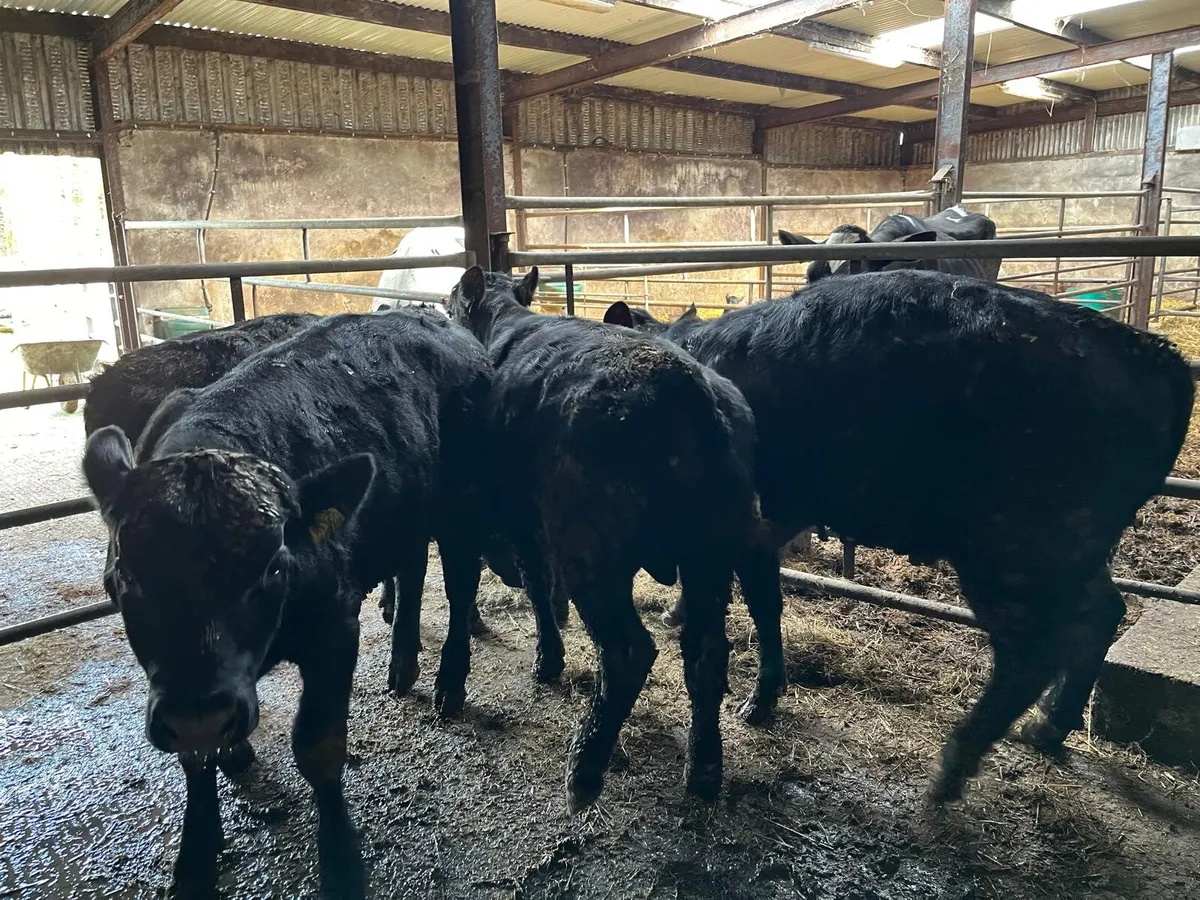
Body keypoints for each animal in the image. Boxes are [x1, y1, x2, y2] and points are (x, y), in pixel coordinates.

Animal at [81, 308, 494, 897]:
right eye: (124, 578)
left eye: (274, 567)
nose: (202, 717)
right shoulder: (181, 688)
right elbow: (194, 760)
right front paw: (196, 858)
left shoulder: (334, 629)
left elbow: (318, 747)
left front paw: (342, 865)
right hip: (404, 514)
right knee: (412, 570)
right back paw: (402, 665)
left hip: (464, 503)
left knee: (460, 584)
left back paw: (449, 683)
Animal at [448, 266, 769, 811]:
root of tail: (684, 387)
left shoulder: (522, 520)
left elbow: (537, 585)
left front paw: (547, 660)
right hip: (710, 551)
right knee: (706, 654)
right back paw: (703, 769)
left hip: (593, 553)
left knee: (626, 652)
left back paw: (585, 766)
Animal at [607, 269, 1194, 805]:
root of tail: (1152, 351)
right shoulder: (767, 526)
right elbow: (767, 604)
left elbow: (755, 602)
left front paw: (752, 694)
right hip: (1072, 545)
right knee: (1102, 611)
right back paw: (1047, 727)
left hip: (1013, 545)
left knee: (1032, 649)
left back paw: (956, 764)